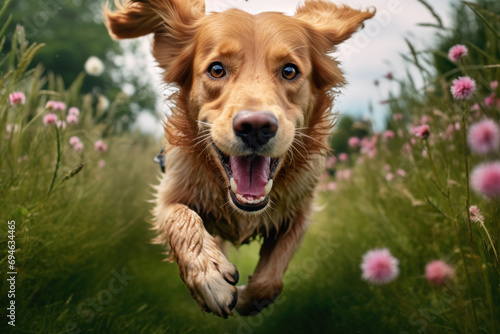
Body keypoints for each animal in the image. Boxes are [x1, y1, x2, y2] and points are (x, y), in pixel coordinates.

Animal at [103, 0, 374, 318]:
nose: (255, 127)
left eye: (290, 71)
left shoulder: (301, 211)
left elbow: (271, 281)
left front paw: (247, 297)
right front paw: (209, 275)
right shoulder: (168, 194)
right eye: (217, 69)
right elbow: (181, 218)